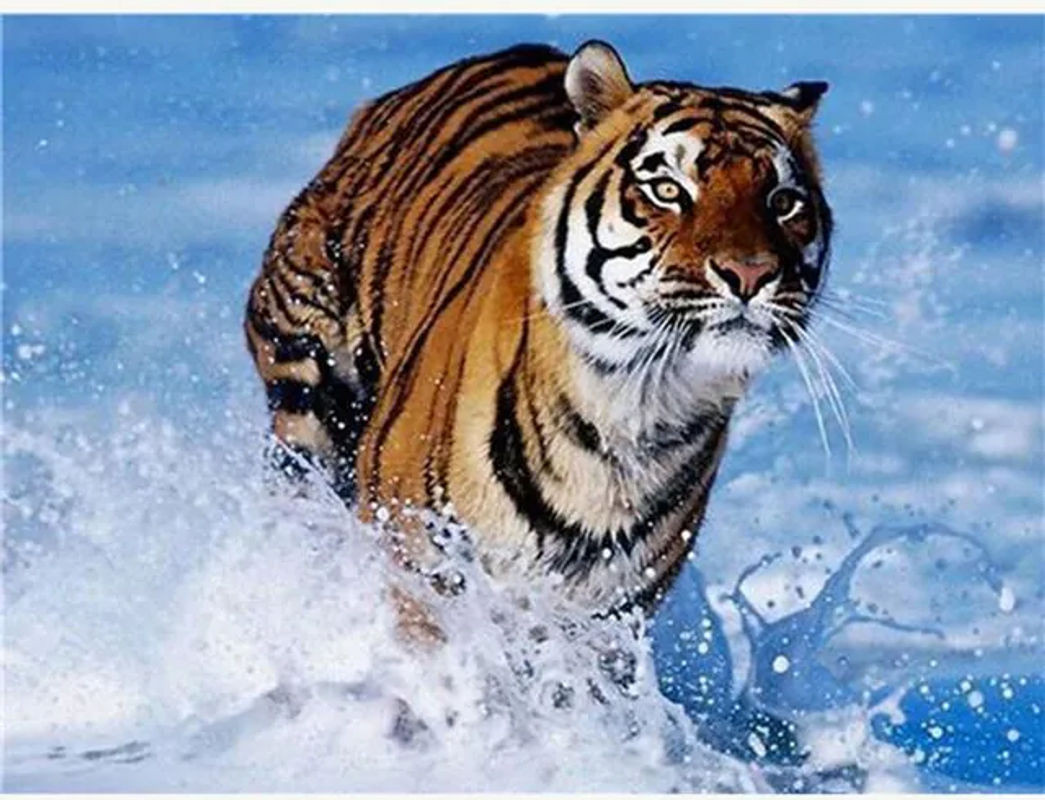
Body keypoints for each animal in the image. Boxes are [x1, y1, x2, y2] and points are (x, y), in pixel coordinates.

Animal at [244, 40, 832, 622]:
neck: (634, 411)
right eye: (667, 189)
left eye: (784, 202)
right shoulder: (417, 561)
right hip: (307, 388)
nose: (751, 273)